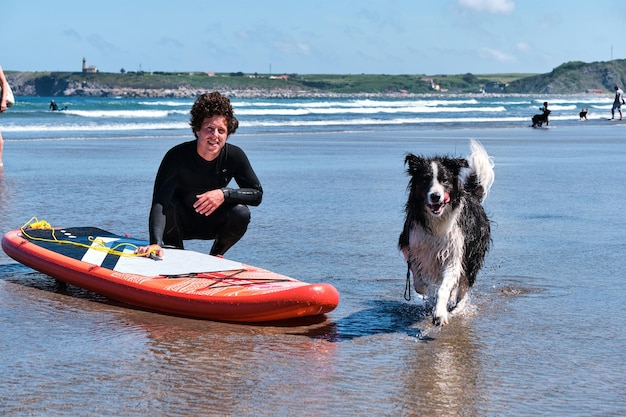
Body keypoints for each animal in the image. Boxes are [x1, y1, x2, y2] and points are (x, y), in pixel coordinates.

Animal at [398, 140, 494, 324]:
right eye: (425, 179)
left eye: (444, 180)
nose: (436, 196)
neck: (437, 219)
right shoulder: (411, 242)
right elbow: (417, 277)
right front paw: (425, 290)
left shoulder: (454, 252)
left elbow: (445, 287)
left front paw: (440, 314)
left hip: (473, 255)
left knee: (464, 285)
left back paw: (457, 308)